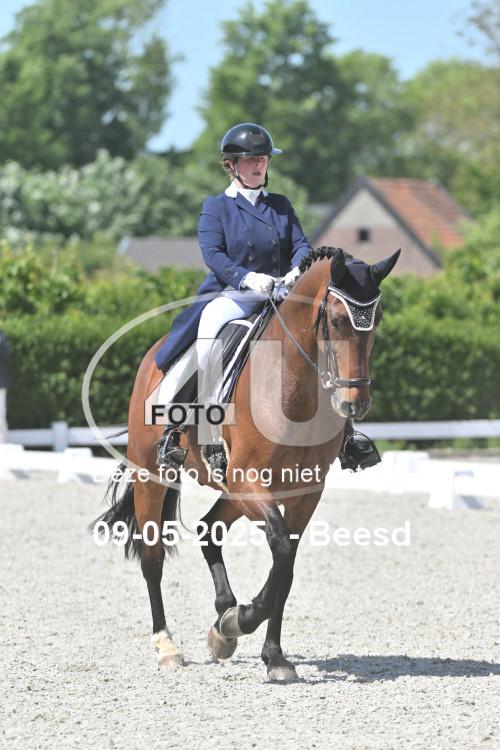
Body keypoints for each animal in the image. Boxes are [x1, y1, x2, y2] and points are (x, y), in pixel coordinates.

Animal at [91, 245, 400, 681]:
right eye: (338, 320)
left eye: (378, 320)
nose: (354, 404)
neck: (293, 386)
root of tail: (154, 356)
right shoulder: (248, 480)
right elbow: (281, 553)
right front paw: (244, 619)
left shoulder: (303, 490)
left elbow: (285, 565)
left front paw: (268, 653)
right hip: (156, 475)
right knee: (152, 557)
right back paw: (168, 646)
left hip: (230, 489)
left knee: (209, 529)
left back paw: (223, 619)